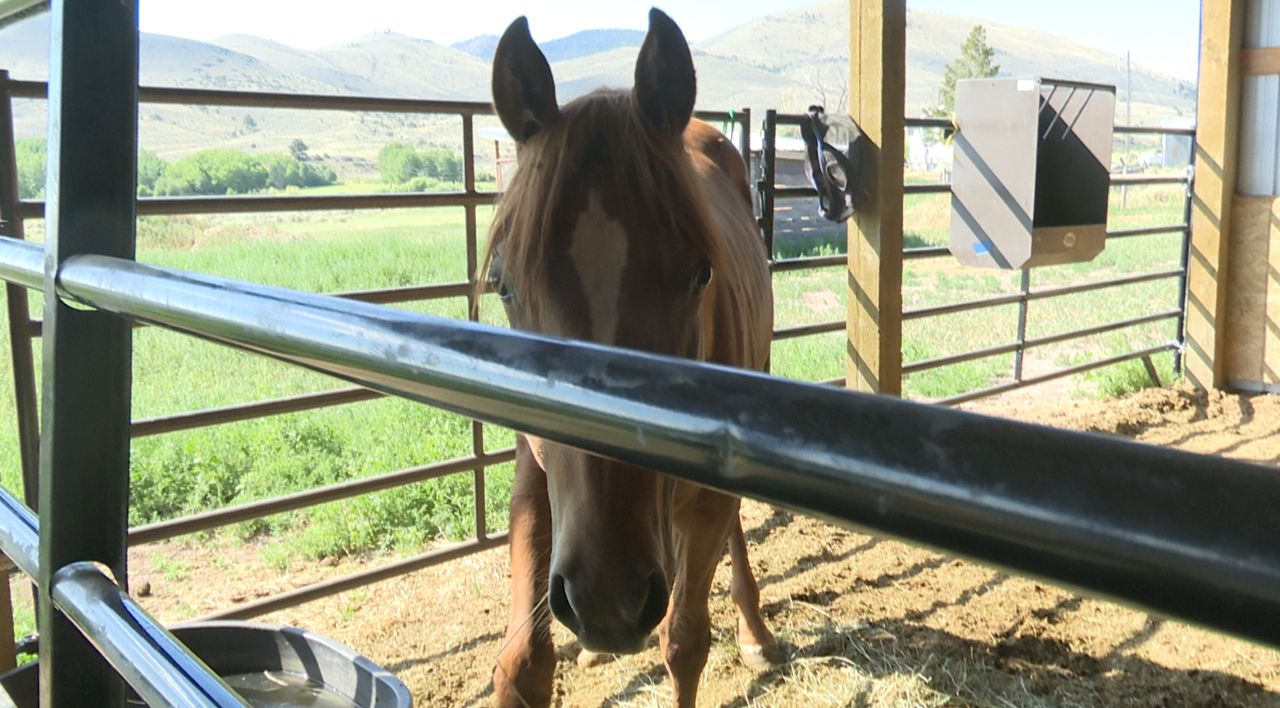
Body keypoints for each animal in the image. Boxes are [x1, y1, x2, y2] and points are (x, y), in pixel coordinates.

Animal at [481, 6, 773, 706]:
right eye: (503, 285)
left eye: (700, 275)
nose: (606, 598)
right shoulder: (534, 480)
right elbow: (521, 663)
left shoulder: (706, 502)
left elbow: (685, 644)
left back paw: (754, 632)